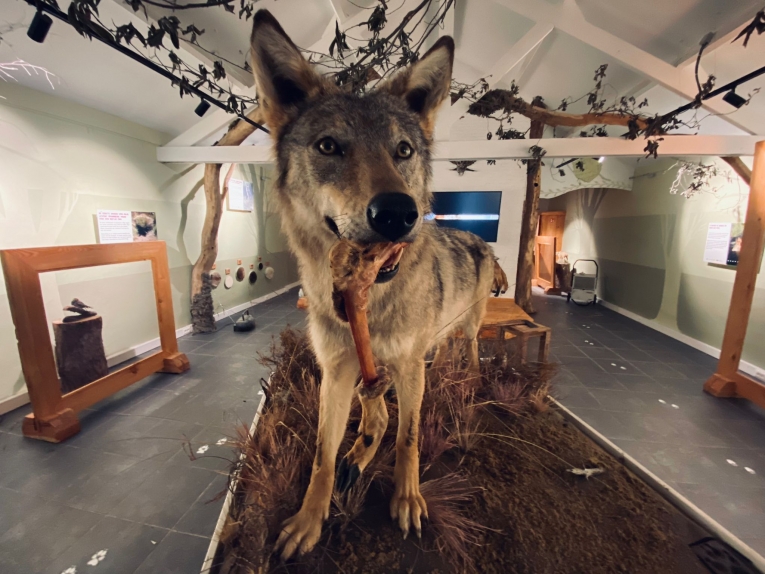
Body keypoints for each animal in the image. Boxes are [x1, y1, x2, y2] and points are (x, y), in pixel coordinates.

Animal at [249, 10, 507, 560]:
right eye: (329, 146)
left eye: (403, 150)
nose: (397, 213)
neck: (365, 301)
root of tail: (479, 239)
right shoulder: (339, 373)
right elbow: (323, 455)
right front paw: (309, 520)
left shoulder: (407, 367)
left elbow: (407, 438)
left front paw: (407, 501)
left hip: (468, 328)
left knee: (468, 354)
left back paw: (469, 380)